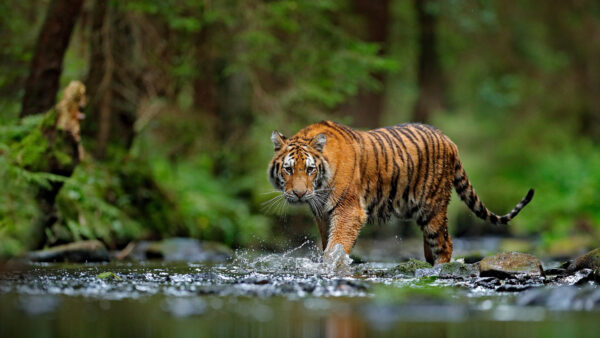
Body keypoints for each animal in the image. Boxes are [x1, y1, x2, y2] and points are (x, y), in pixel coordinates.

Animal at [268, 120, 536, 266]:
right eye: (289, 169)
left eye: (310, 169)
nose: (299, 194)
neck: (320, 188)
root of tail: (450, 140)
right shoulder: (323, 214)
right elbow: (328, 243)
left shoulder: (349, 210)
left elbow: (337, 245)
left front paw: (332, 266)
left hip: (432, 208)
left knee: (445, 244)